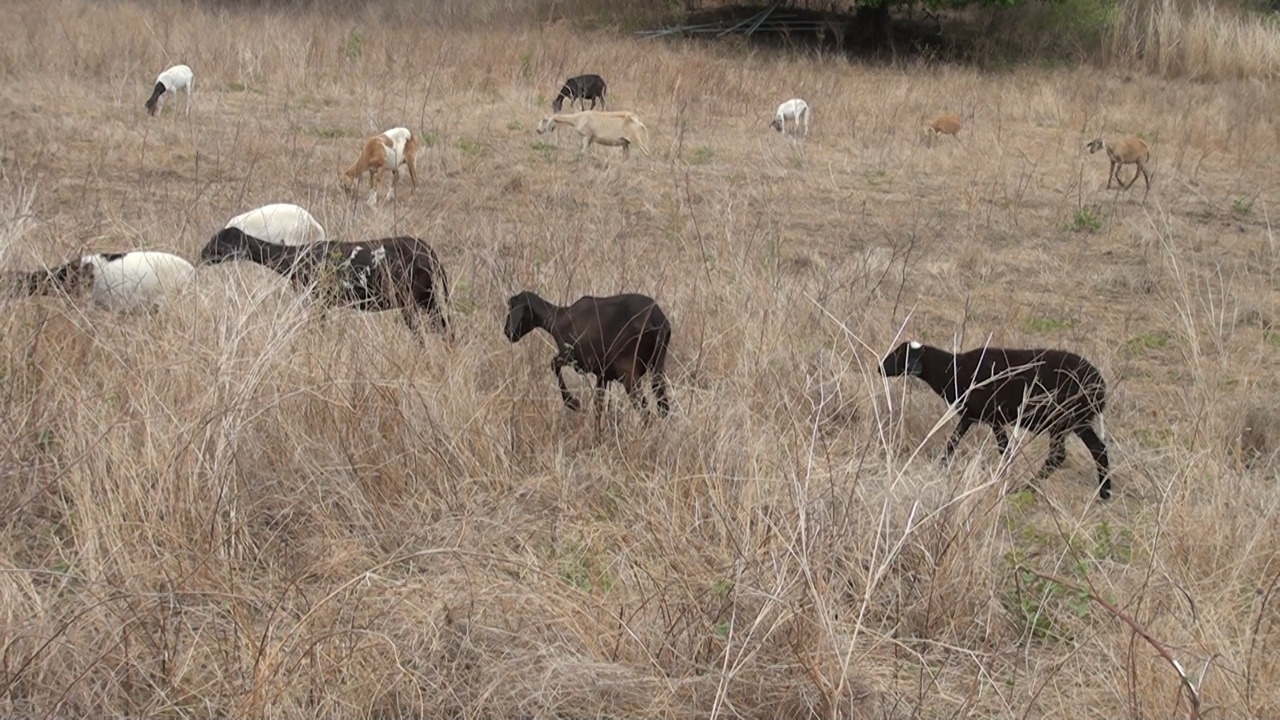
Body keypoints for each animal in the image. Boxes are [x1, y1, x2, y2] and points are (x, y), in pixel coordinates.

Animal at [202, 224, 453, 338]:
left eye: (219, 241)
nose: (202, 254)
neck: (296, 258)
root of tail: (430, 253)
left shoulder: (318, 302)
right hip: (428, 298)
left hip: (410, 299)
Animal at [504, 289, 675, 417]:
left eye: (512, 308)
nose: (507, 332)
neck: (558, 318)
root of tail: (657, 321)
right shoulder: (602, 374)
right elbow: (598, 406)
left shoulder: (572, 356)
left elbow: (553, 364)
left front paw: (573, 403)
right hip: (657, 366)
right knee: (662, 407)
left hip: (628, 370)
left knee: (645, 411)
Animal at [880, 338, 1111, 497]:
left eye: (901, 355)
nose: (880, 367)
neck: (954, 370)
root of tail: (1100, 385)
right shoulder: (970, 416)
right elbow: (952, 443)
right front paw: (939, 468)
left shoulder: (994, 417)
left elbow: (1004, 450)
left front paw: (1004, 477)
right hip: (1077, 422)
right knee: (1098, 449)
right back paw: (1105, 493)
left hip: (1062, 420)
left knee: (1058, 455)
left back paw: (1026, 487)